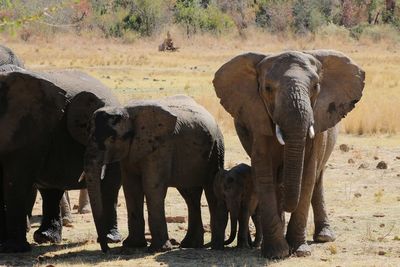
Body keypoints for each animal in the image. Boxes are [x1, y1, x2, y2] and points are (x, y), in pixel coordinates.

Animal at [0, 67, 122, 253]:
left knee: (109, 186)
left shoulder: (30, 127)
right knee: (51, 188)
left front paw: (12, 249)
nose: (105, 249)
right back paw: (45, 238)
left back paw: (110, 238)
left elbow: (16, 180)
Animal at [80, 95, 225, 254]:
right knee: (190, 195)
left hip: (216, 148)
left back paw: (213, 246)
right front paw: (133, 245)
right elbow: (131, 188)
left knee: (211, 191)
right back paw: (190, 244)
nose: (106, 249)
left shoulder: (160, 146)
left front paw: (158, 249)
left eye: (112, 139)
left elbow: (152, 187)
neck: (127, 112)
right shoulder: (130, 151)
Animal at [214, 50, 364, 260]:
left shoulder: (318, 122)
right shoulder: (258, 118)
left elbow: (307, 174)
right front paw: (277, 253)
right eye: (267, 88)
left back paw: (324, 237)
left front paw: (300, 250)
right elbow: (264, 172)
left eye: (316, 86)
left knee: (317, 178)